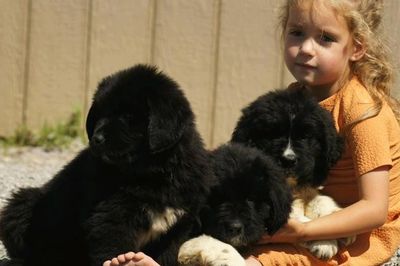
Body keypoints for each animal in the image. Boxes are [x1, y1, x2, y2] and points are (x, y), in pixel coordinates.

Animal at [0, 64, 212, 266]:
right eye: (100, 115)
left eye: (128, 117)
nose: (97, 139)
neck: (152, 174)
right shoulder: (110, 217)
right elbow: (113, 249)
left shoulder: (178, 225)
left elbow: (167, 254)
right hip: (23, 206)